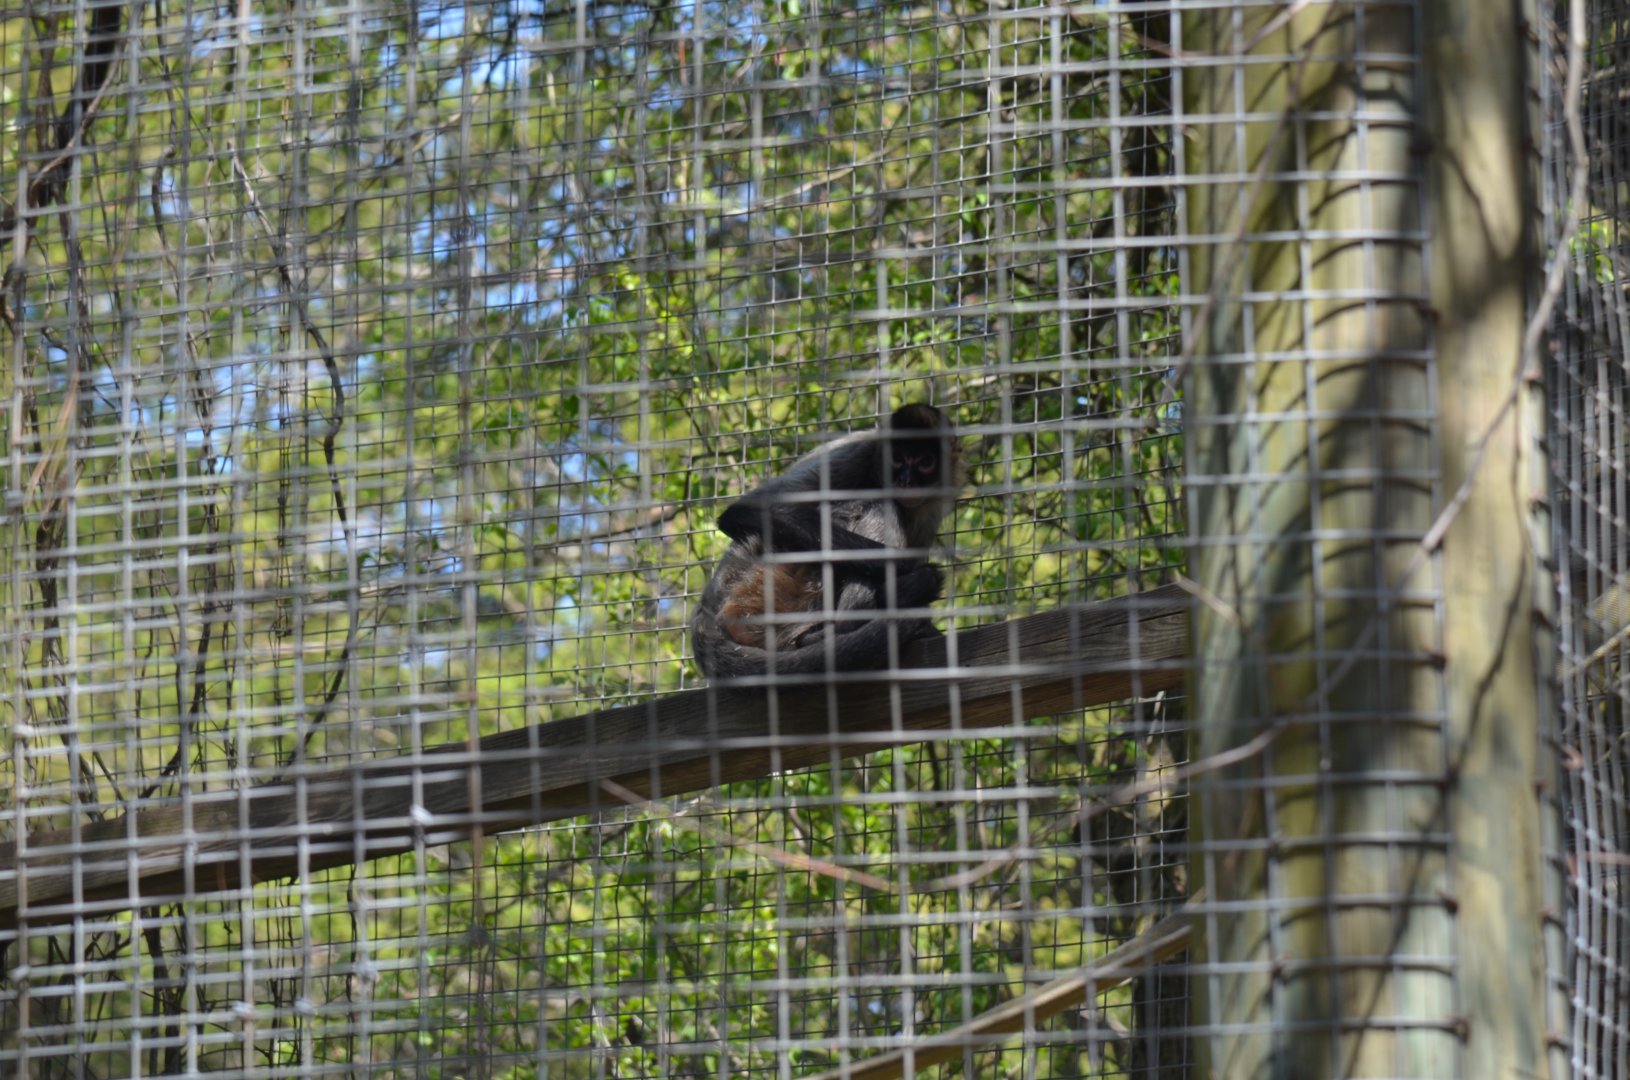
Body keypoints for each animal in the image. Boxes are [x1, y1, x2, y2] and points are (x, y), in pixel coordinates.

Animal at [691, 403, 962, 679]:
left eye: (926, 462)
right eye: (897, 458)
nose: (906, 481)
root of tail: (708, 608)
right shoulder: (855, 454)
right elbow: (746, 511)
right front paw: (905, 568)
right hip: (769, 584)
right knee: (877, 505)